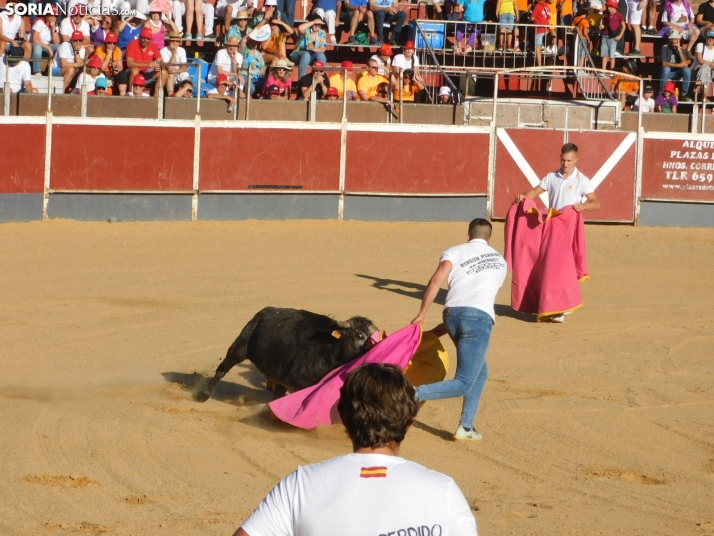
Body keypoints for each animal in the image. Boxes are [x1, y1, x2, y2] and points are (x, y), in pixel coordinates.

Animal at [192, 306, 376, 402]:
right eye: (360, 335)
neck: (331, 349)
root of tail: (264, 312)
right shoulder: (298, 383)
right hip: (240, 346)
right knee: (223, 368)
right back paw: (203, 394)